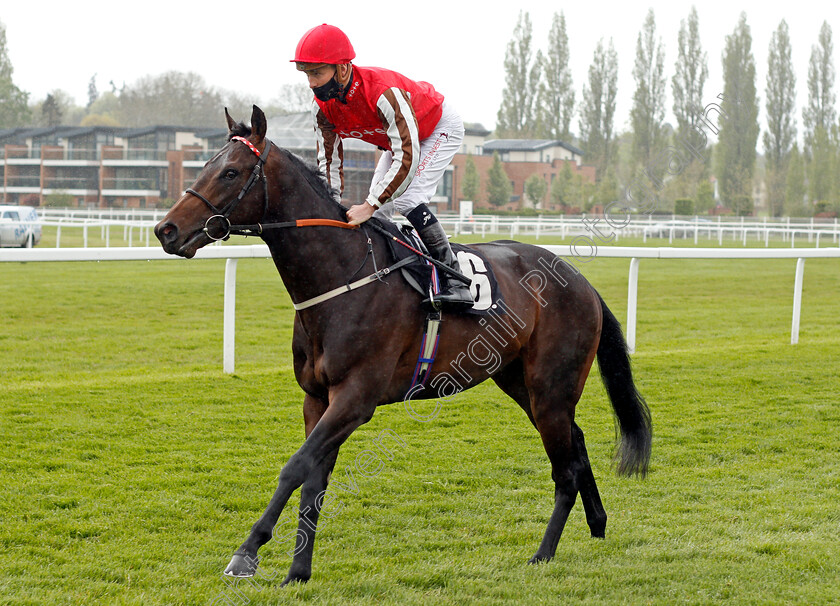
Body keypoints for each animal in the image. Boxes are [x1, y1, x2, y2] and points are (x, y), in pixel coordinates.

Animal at [154, 107, 652, 588]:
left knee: (564, 468)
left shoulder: (356, 398)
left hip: (550, 386)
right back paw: (598, 523)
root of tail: (580, 279)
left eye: (231, 172)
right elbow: (315, 479)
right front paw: (298, 572)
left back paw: (543, 553)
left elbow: (295, 468)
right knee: (577, 444)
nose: (166, 230)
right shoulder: (318, 398)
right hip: (519, 381)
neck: (342, 276)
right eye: (204, 165)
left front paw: (247, 553)